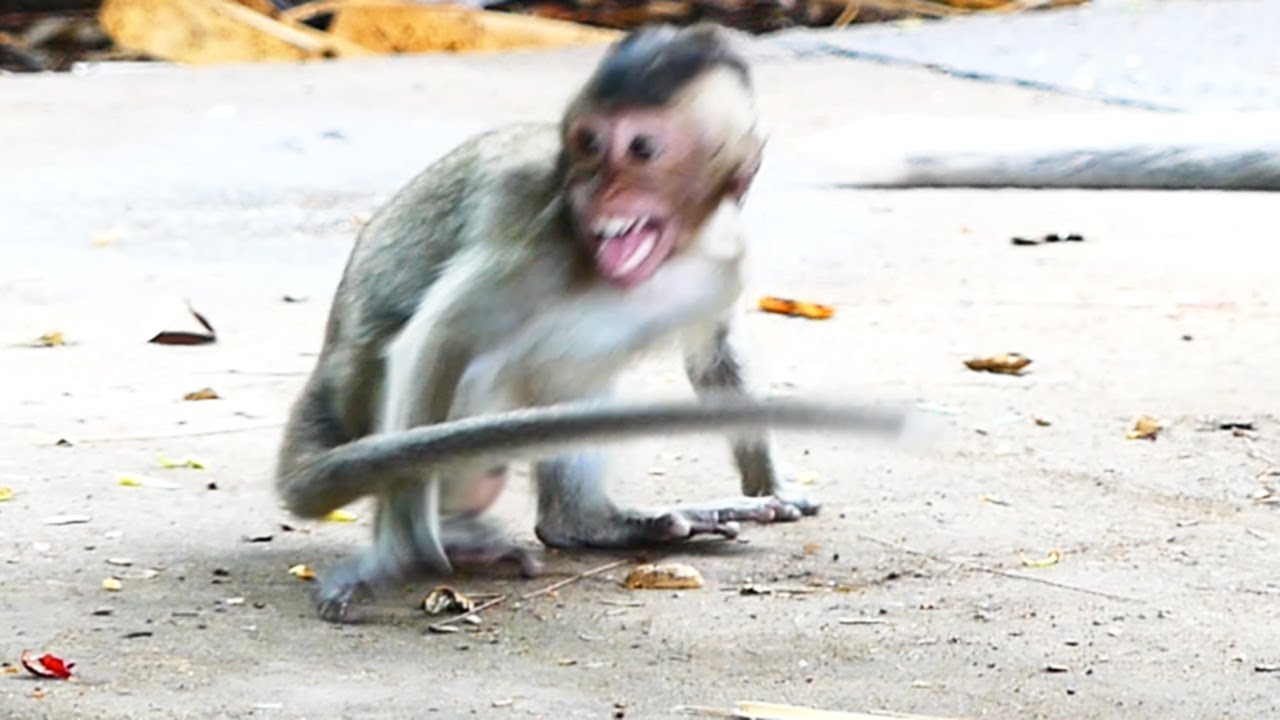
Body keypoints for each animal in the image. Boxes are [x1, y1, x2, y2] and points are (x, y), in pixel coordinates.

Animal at [275, 23, 911, 623]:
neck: (668, 259)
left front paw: (769, 484)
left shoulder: (728, 253)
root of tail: (325, 382)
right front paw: (403, 549)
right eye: (588, 144)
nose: (596, 186)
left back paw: (587, 523)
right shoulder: (541, 248)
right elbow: (439, 338)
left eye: (642, 149)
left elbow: (714, 355)